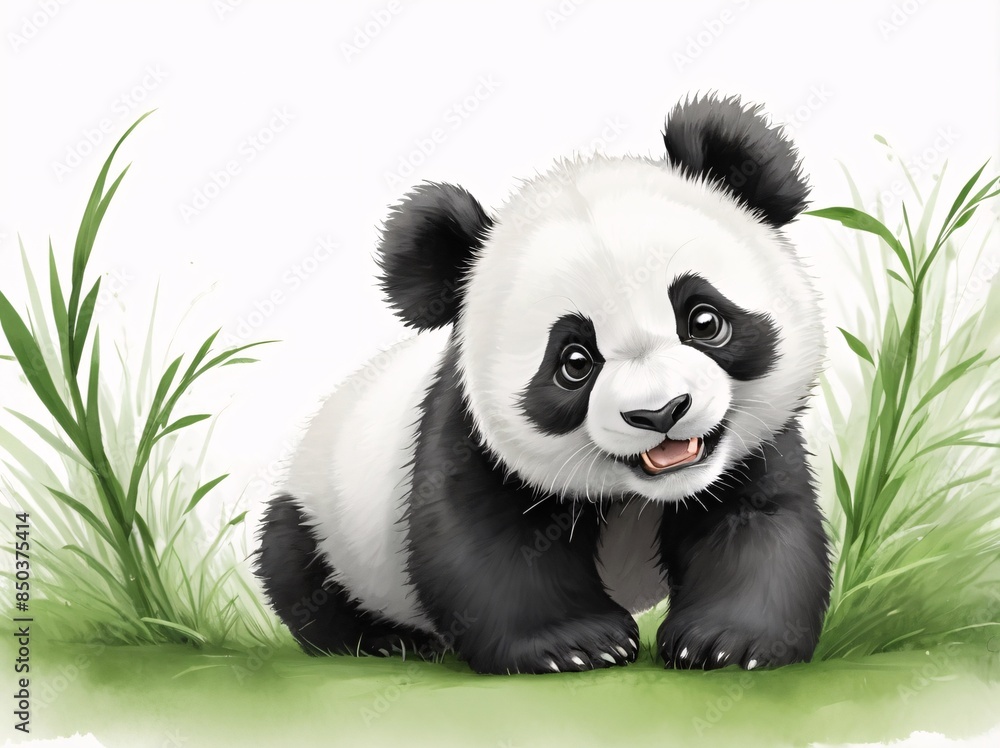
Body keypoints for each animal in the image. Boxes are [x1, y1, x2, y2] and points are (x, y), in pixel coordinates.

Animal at [255, 94, 832, 675]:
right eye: (574, 362)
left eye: (705, 320)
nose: (660, 413)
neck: (639, 492)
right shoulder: (463, 431)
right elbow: (486, 541)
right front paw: (578, 644)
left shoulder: (752, 448)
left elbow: (759, 521)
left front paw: (726, 643)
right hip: (321, 517)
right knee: (298, 571)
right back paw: (386, 641)